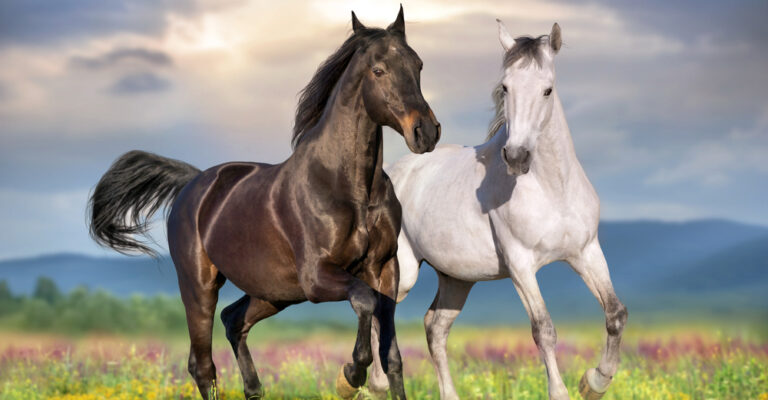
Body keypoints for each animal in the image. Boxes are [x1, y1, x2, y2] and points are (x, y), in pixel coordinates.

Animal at [87, 7, 440, 400]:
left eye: (418, 65)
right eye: (378, 70)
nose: (426, 132)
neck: (351, 189)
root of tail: (194, 183)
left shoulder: (384, 269)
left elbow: (391, 354)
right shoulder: (318, 276)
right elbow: (363, 302)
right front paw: (349, 375)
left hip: (274, 292)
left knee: (233, 321)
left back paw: (254, 388)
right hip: (199, 286)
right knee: (202, 364)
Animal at [366, 21, 627, 400]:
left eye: (548, 90)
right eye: (505, 87)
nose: (516, 156)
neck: (553, 189)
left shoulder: (586, 252)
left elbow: (615, 314)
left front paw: (594, 381)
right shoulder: (521, 264)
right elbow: (543, 329)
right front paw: (564, 391)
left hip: (457, 278)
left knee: (435, 327)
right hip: (405, 272)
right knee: (380, 312)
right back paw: (376, 383)